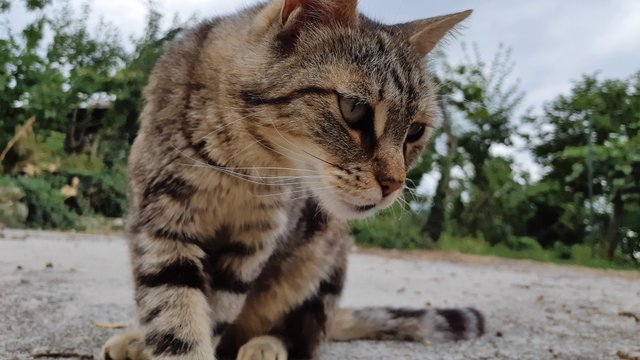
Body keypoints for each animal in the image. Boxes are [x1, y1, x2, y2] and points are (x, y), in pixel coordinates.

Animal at [101, 0, 480, 360]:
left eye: (415, 131)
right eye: (354, 107)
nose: (394, 184)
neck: (241, 171)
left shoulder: (253, 244)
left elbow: (214, 312)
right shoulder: (163, 224)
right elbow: (176, 317)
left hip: (322, 259)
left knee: (301, 339)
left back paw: (264, 346)